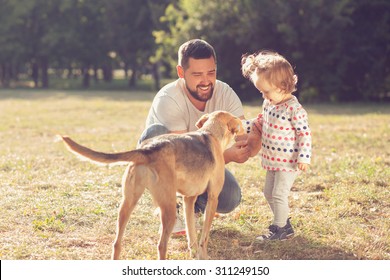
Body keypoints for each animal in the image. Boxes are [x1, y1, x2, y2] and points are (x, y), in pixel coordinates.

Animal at [59, 110, 244, 260]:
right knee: (161, 246)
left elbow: (191, 234)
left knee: (116, 243)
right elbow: (204, 237)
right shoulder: (213, 198)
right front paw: (203, 256)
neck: (210, 133)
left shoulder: (188, 199)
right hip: (168, 209)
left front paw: (194, 255)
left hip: (127, 204)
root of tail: (148, 149)